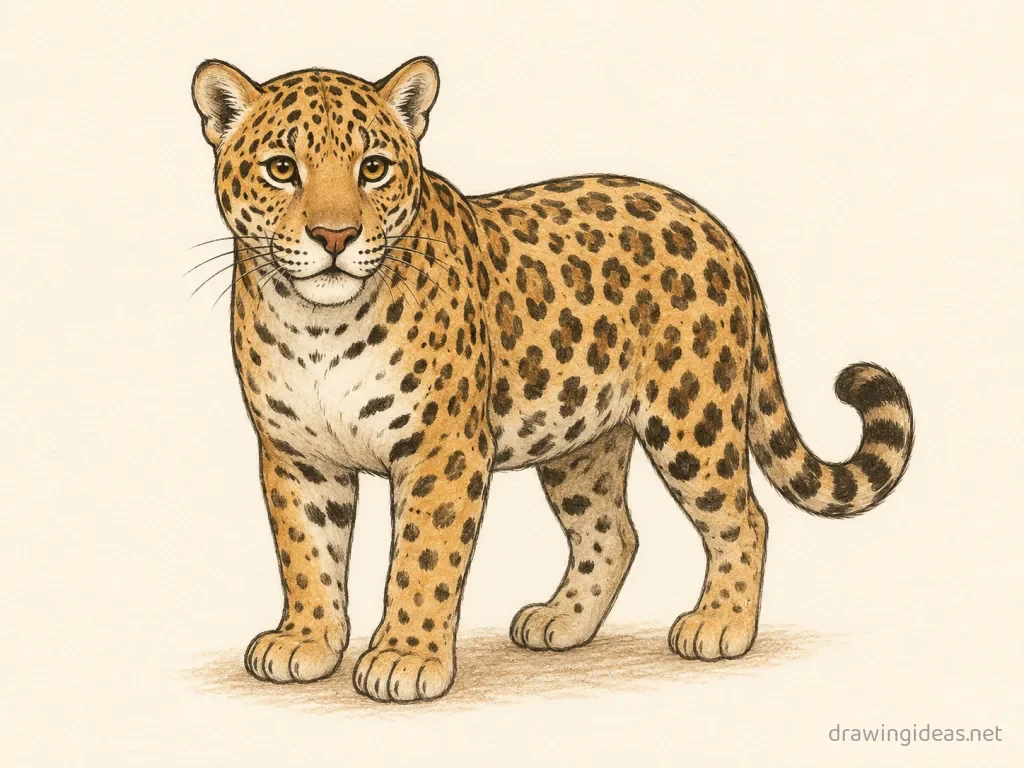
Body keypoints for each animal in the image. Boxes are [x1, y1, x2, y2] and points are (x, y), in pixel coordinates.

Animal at [190, 56, 914, 703]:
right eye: (282, 169)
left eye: (374, 168)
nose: (334, 235)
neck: (318, 326)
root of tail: (718, 231)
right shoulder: (296, 453)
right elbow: (307, 552)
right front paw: (306, 641)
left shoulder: (442, 450)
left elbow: (423, 559)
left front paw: (405, 657)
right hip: (580, 439)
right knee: (612, 532)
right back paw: (561, 621)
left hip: (692, 418)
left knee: (744, 518)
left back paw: (720, 626)